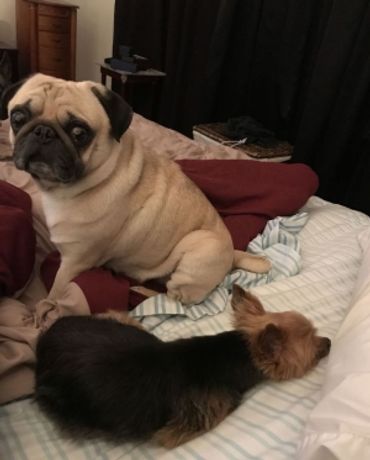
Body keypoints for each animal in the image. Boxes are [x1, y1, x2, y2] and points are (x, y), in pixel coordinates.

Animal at [34, 286, 330, 448]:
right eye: (315, 348)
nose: (329, 341)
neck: (233, 355)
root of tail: (44, 339)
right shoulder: (192, 423)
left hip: (115, 320)